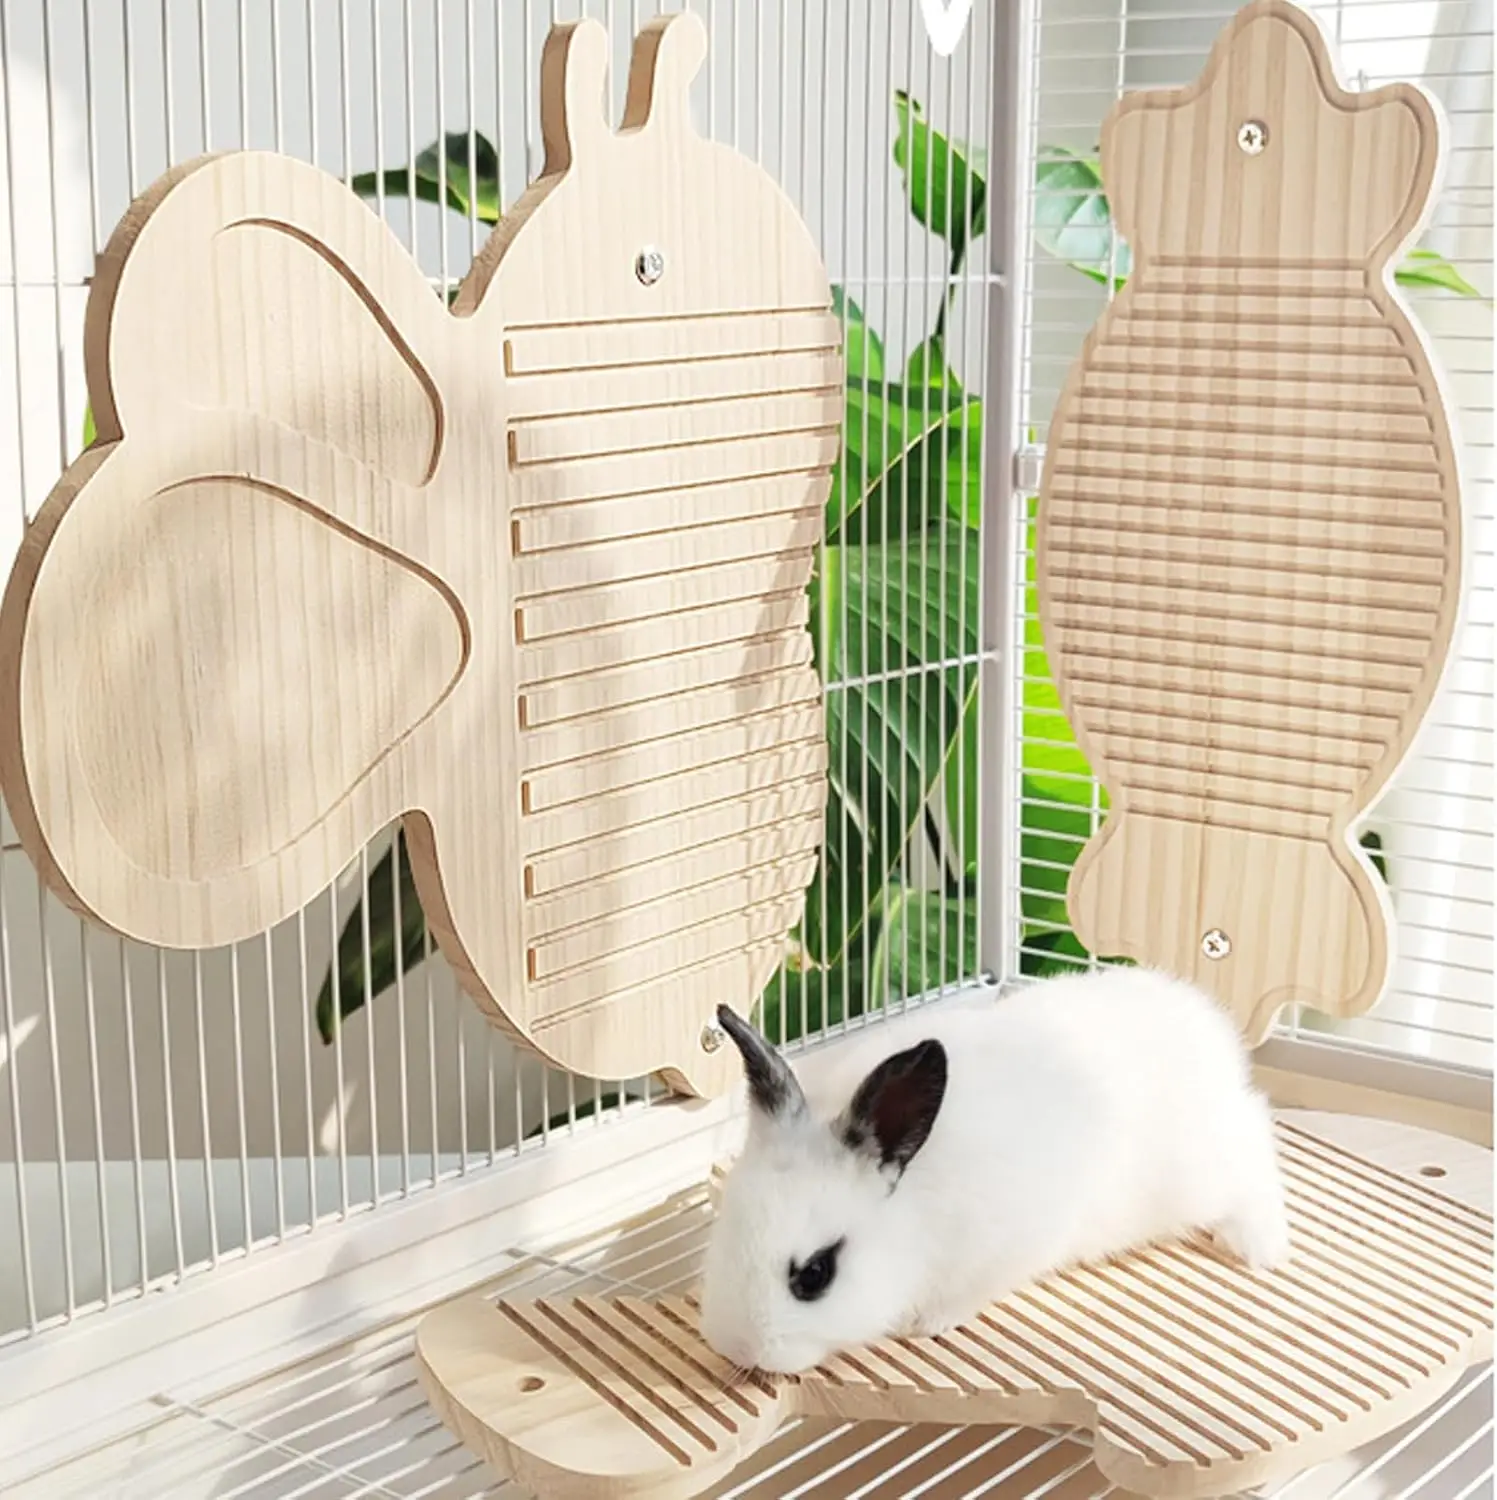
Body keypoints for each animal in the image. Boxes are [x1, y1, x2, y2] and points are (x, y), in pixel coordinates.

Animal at [698, 966, 1290, 1375]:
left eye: (815, 1274)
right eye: (724, 1231)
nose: (740, 1349)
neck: (912, 1218)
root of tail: (1207, 1028)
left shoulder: (1014, 1243)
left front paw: (926, 1324)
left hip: (1208, 1166)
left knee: (1256, 1148)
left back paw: (1260, 1246)